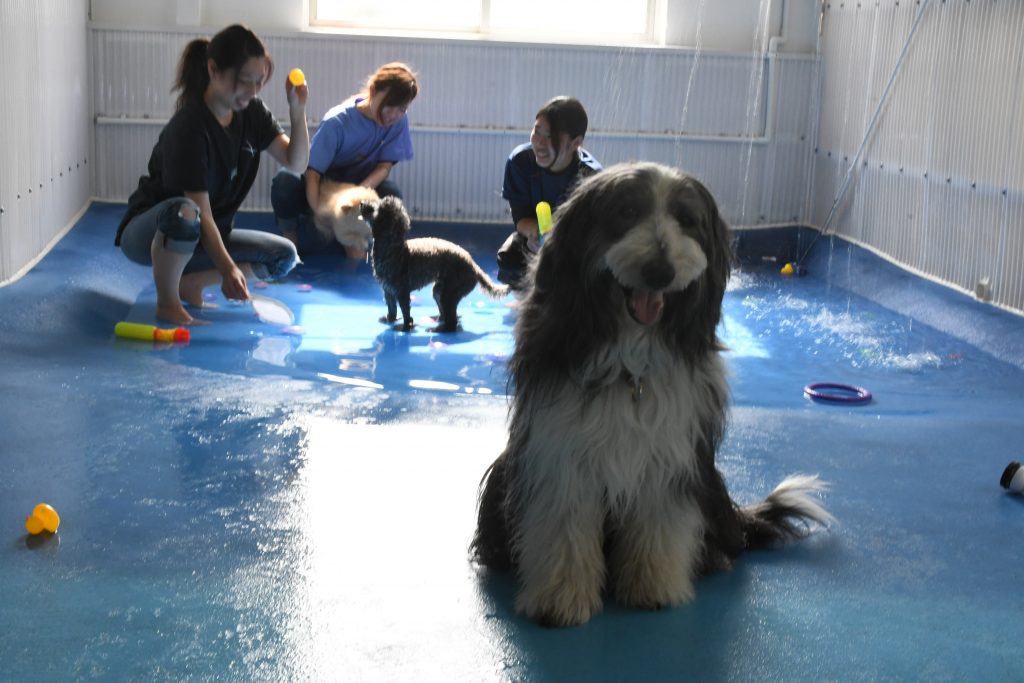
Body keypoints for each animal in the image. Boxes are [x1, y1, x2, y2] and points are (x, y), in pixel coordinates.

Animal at [366, 196, 509, 331]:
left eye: (377, 209)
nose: (363, 204)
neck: (392, 247)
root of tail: (474, 266)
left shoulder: (402, 291)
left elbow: (405, 312)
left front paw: (406, 327)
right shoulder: (388, 290)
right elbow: (392, 308)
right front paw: (390, 319)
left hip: (450, 293)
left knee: (452, 323)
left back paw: (440, 329)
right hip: (440, 290)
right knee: (445, 311)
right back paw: (438, 319)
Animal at [471, 162, 831, 626]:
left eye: (687, 220)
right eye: (626, 212)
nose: (660, 271)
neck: (631, 360)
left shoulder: (667, 453)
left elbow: (659, 521)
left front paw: (652, 587)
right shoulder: (559, 450)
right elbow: (562, 524)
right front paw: (560, 598)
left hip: (708, 481)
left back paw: (714, 557)